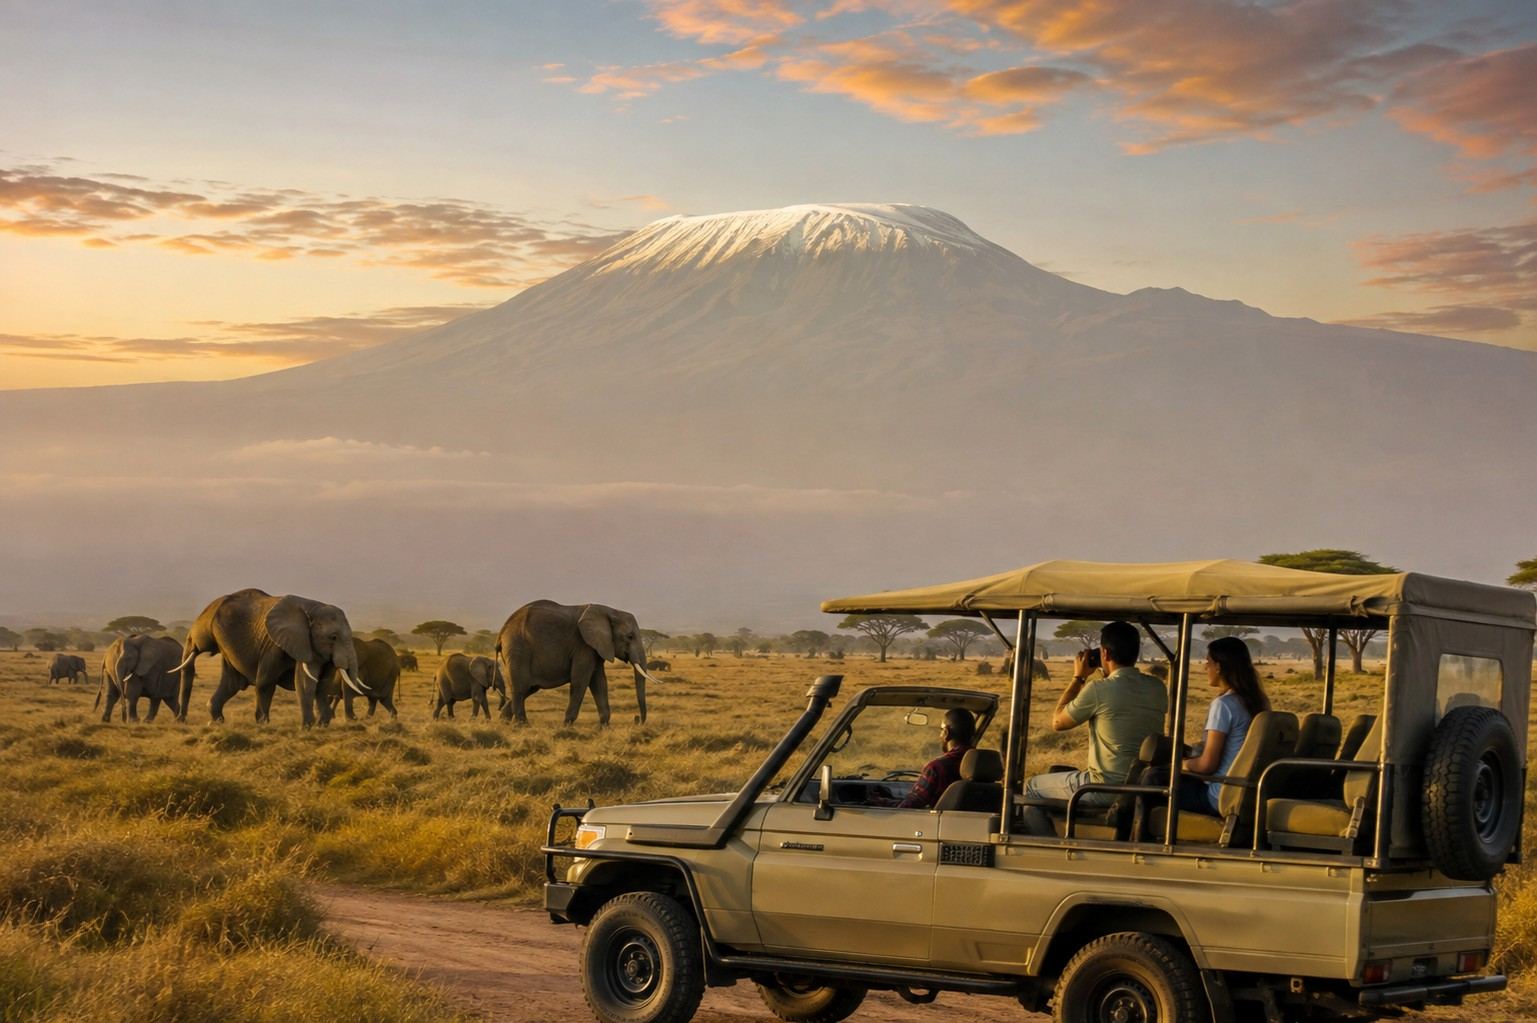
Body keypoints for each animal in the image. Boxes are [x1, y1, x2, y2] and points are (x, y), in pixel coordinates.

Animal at [171, 588, 369, 727]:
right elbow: (287, 682)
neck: (313, 608)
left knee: (231, 684)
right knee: (237, 683)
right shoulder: (277, 644)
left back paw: (217, 721)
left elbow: (321, 683)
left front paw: (321, 726)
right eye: (333, 637)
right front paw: (302, 727)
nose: (181, 720)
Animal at [496, 600, 662, 725]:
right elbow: (581, 681)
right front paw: (567, 725)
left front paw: (604, 727)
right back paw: (522, 725)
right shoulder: (583, 645)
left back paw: (504, 721)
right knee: (521, 688)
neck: (609, 611)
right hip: (518, 648)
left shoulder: (596, 647)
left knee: (528, 688)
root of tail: (501, 632)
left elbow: (599, 682)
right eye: (630, 636)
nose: (636, 719)